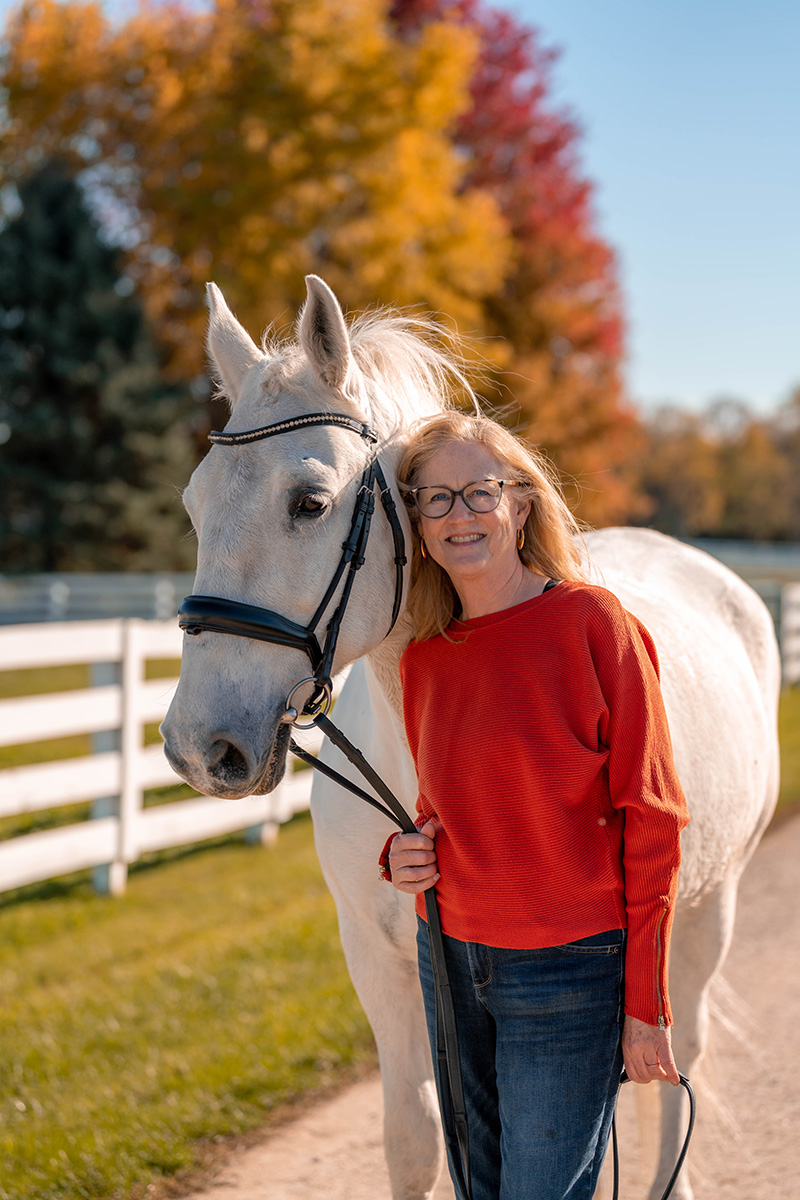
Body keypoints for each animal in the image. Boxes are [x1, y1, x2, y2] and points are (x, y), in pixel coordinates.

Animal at [161, 274, 781, 1200]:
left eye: (309, 503)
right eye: (196, 504)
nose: (199, 747)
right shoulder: (383, 965)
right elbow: (420, 1140)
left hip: (710, 906)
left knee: (680, 1060)